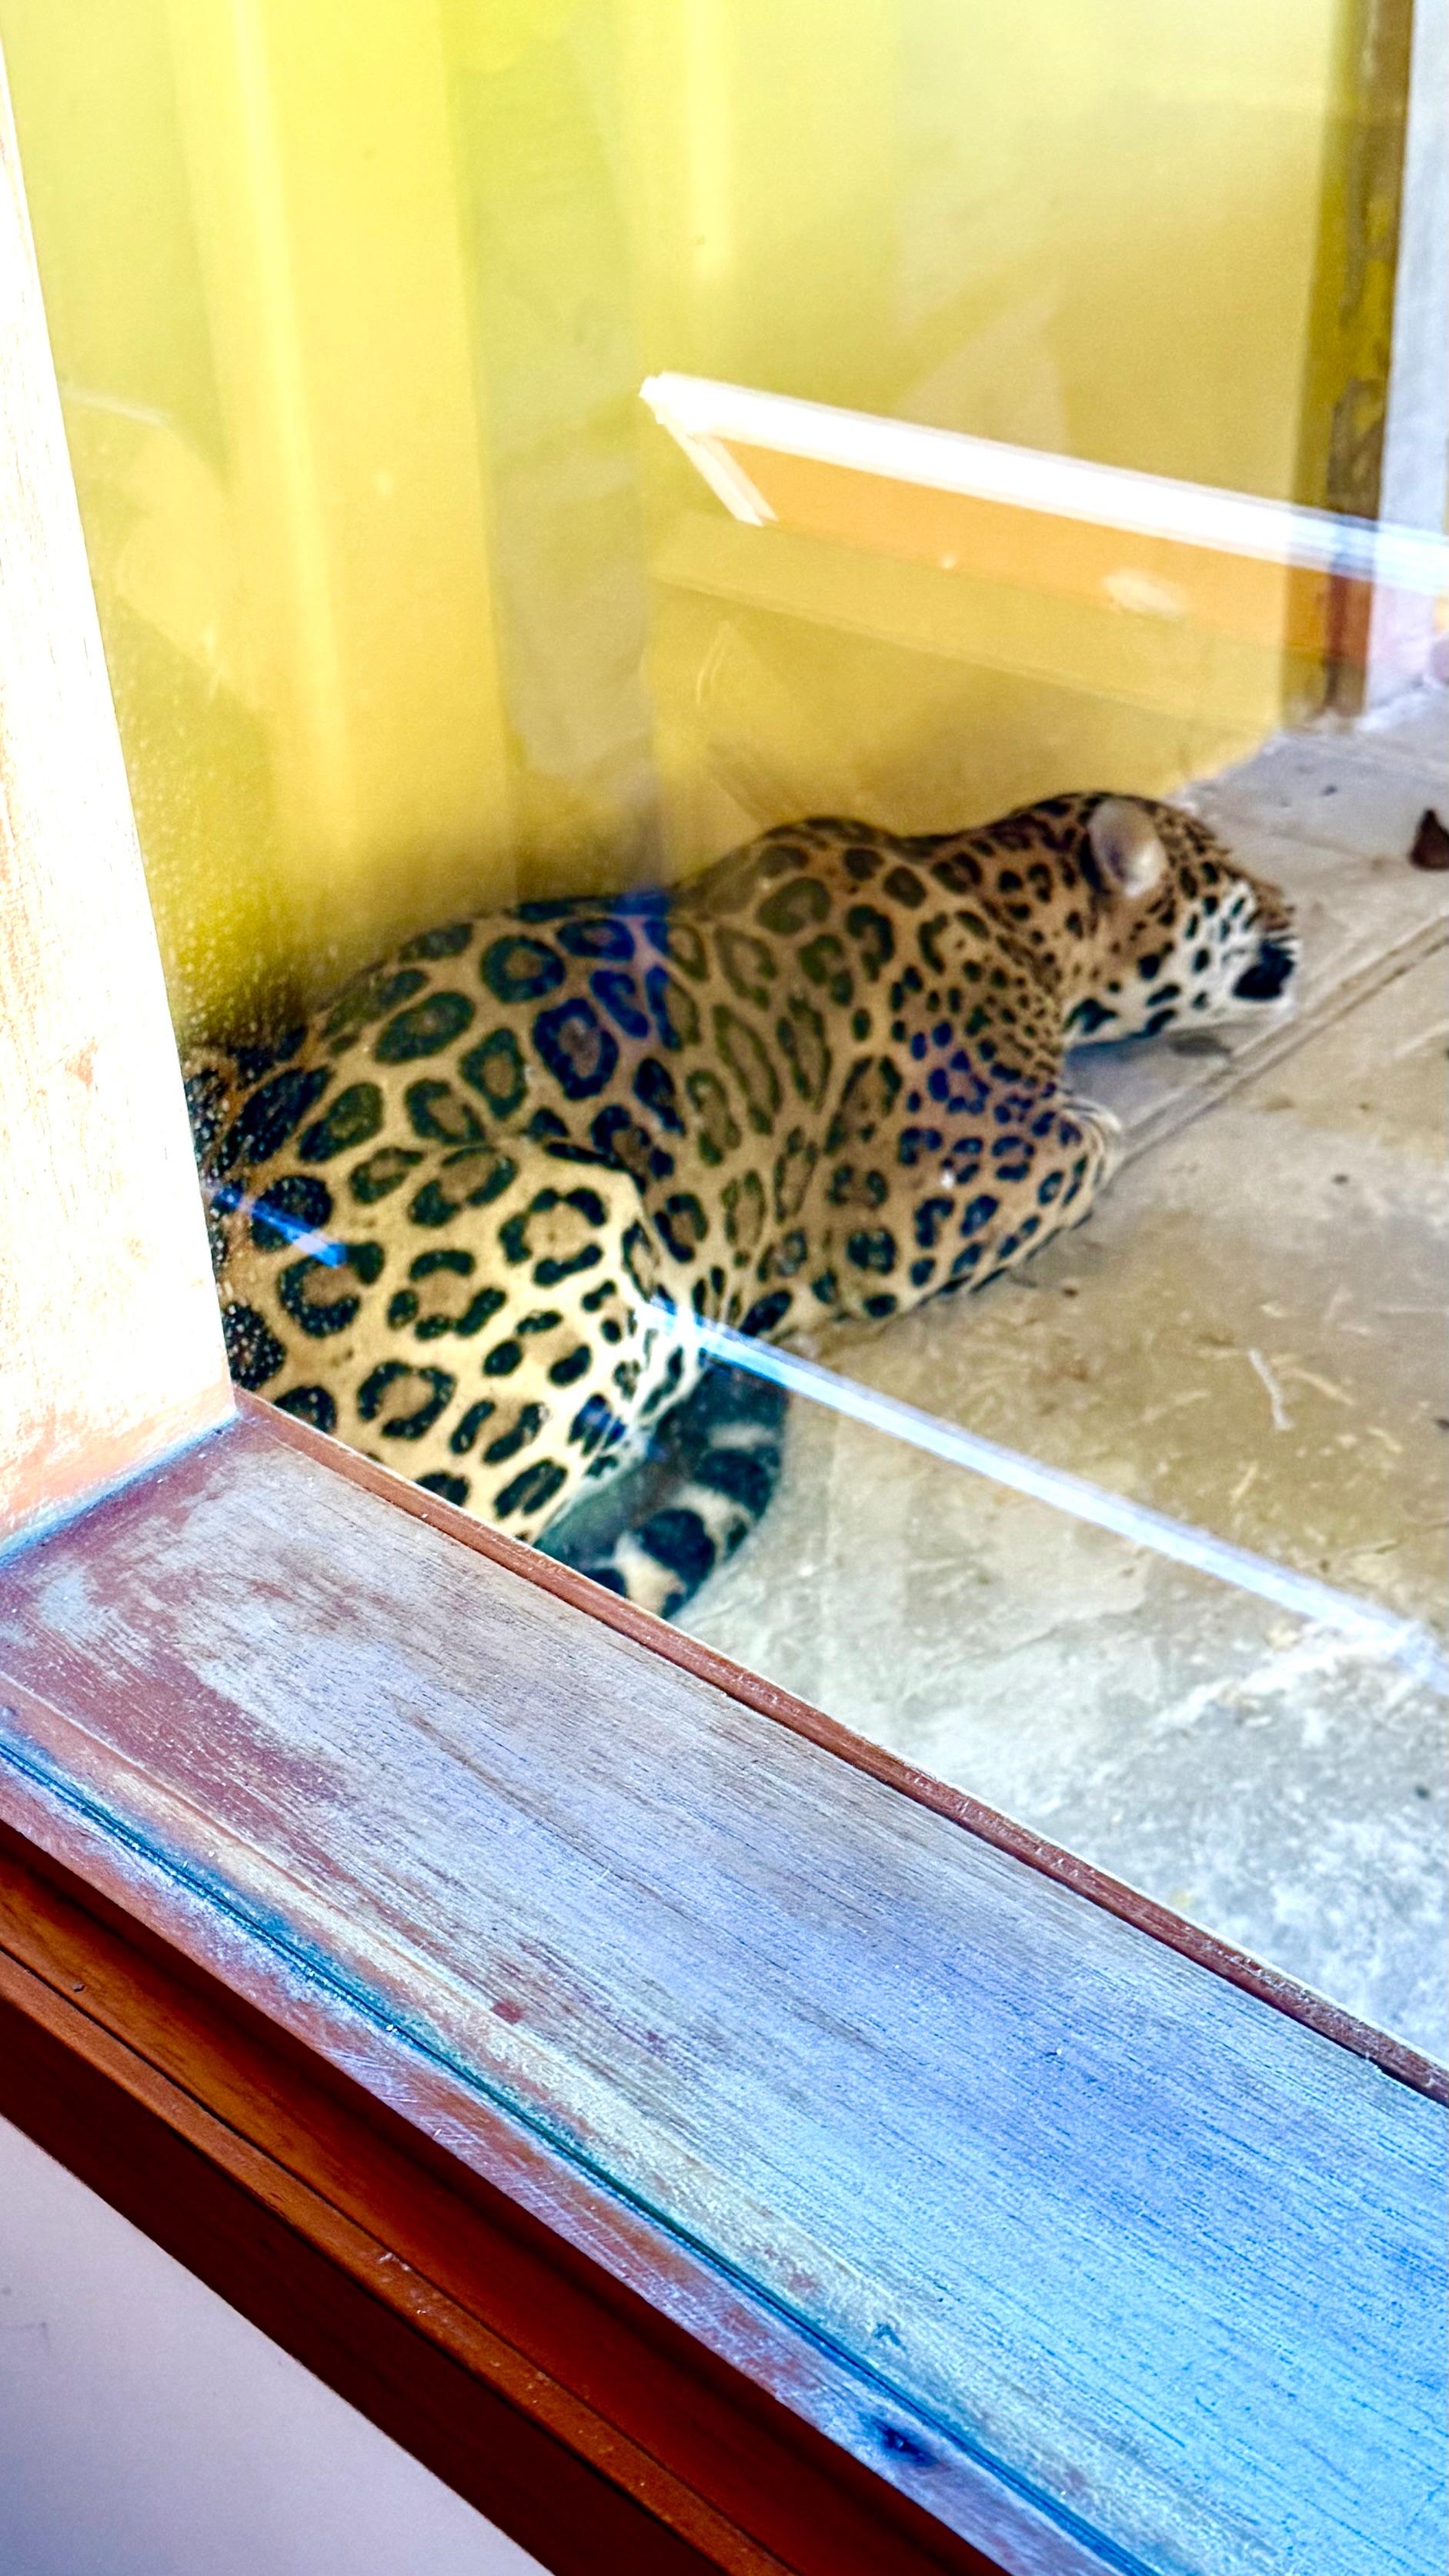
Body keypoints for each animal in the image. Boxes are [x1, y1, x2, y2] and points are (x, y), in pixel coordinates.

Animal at [186, 791, 1298, 1617]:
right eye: (1231, 879)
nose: (1290, 905)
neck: (1005, 898)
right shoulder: (927, 1208)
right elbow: (1093, 1139)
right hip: (573, 1209)